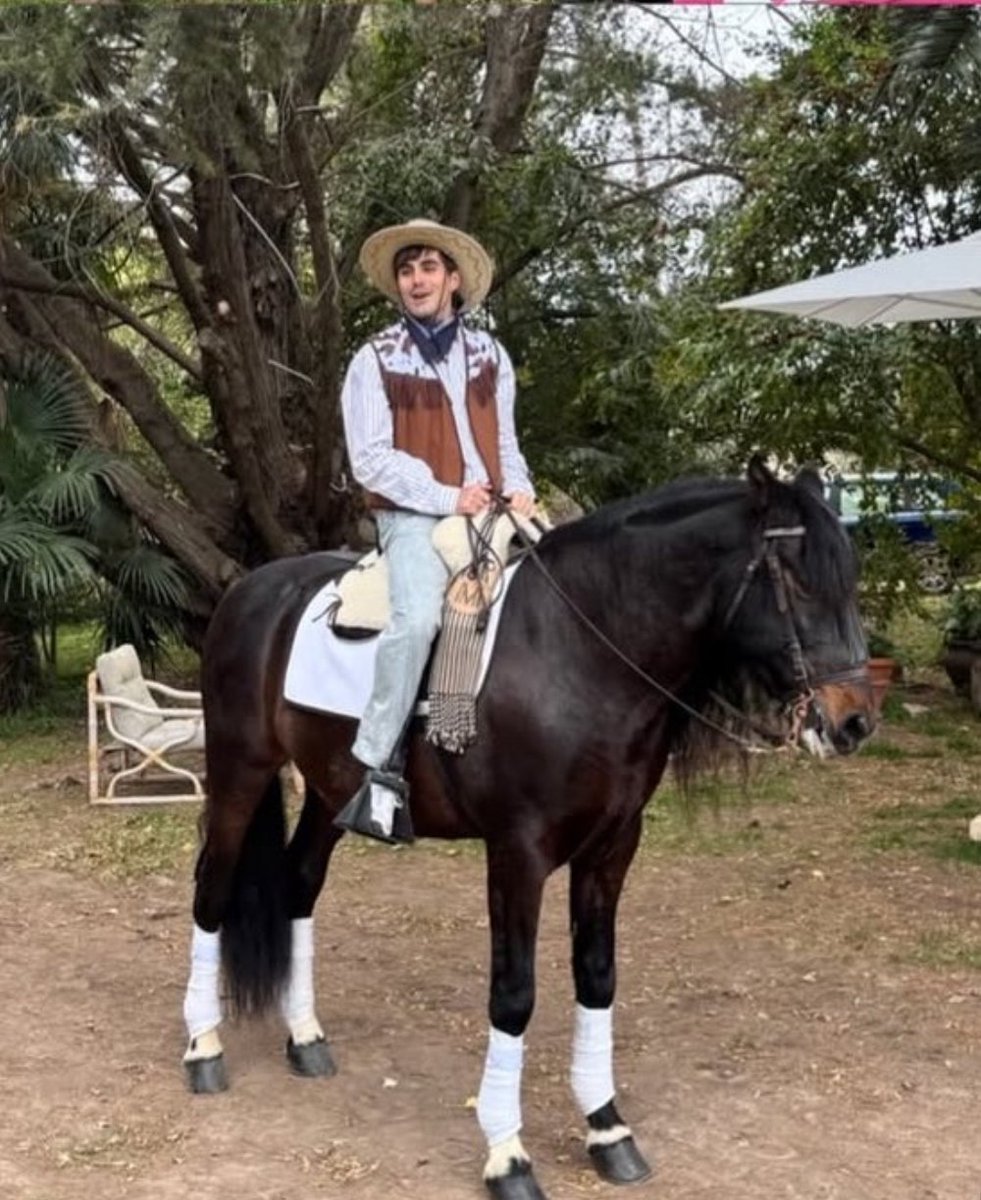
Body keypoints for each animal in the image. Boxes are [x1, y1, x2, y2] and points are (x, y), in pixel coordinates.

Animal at [181, 459, 875, 1200]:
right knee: (212, 892)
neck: (579, 652)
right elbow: (513, 996)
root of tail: (252, 589)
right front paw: (507, 1155)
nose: (854, 721)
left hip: (329, 789)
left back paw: (305, 1038)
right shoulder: (518, 853)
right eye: (797, 579)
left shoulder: (612, 847)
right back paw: (203, 1049)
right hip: (239, 768)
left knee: (298, 884)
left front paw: (607, 1129)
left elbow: (597, 978)